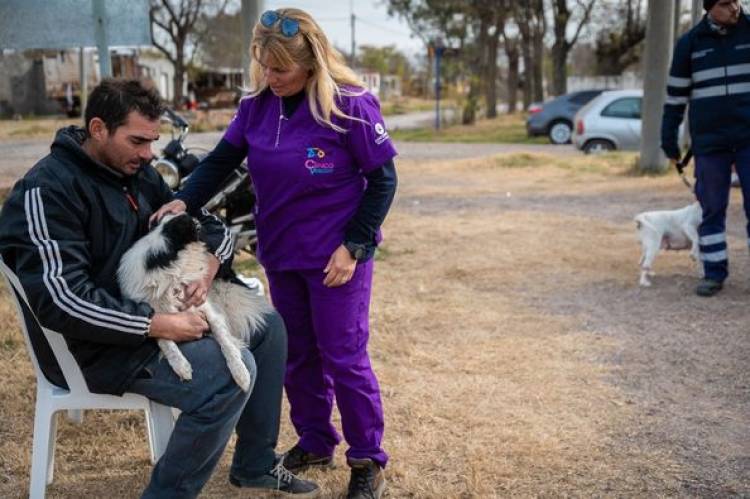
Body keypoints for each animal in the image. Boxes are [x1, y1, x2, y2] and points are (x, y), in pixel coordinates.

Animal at [116, 211, 272, 390]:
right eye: (196, 226)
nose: (202, 223)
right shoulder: (154, 316)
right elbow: (166, 342)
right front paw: (181, 366)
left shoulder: (207, 309)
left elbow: (226, 342)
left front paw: (241, 373)